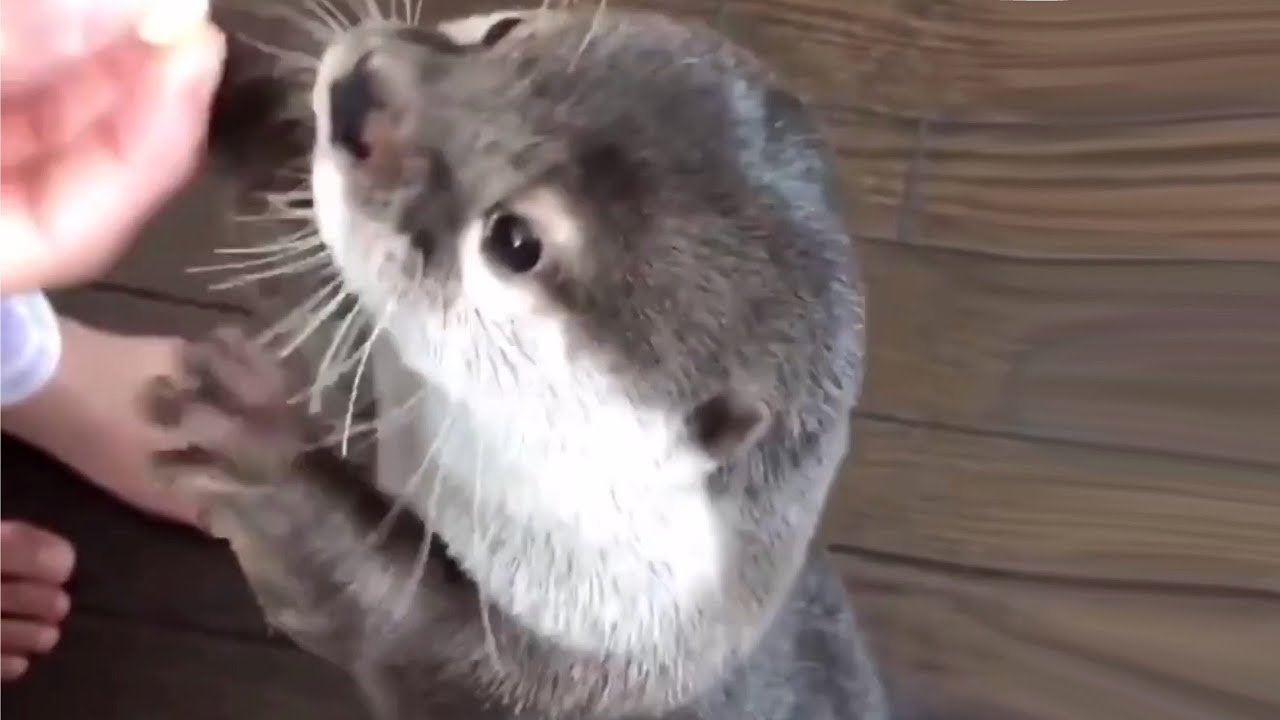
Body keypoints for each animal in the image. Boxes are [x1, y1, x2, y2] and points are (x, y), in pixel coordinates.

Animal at [147, 4, 887, 719]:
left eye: (515, 241)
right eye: (504, 30)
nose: (362, 90)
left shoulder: (543, 669)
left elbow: (373, 607)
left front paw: (262, 456)